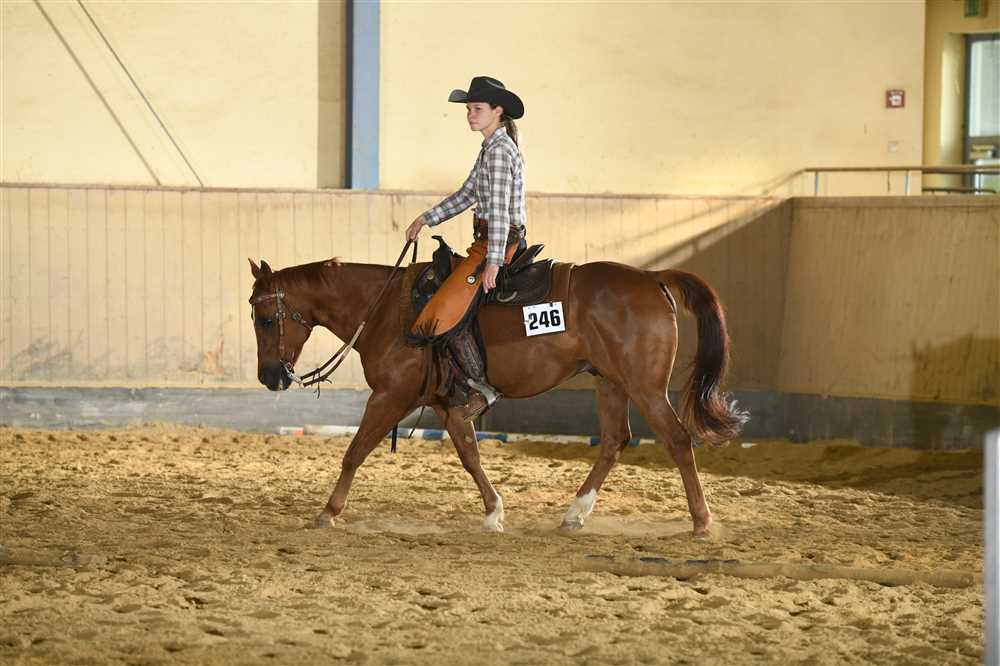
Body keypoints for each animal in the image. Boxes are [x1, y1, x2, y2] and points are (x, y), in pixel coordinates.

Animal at [248, 255, 747, 537]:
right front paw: (493, 513)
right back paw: (574, 515)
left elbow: (353, 452)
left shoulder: (390, 397)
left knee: (678, 440)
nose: (270, 377)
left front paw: (328, 513)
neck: (386, 309)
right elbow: (469, 453)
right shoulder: (448, 406)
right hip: (610, 382)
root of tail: (651, 276)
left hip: (645, 387)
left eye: (266, 318)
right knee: (613, 441)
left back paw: (702, 523)